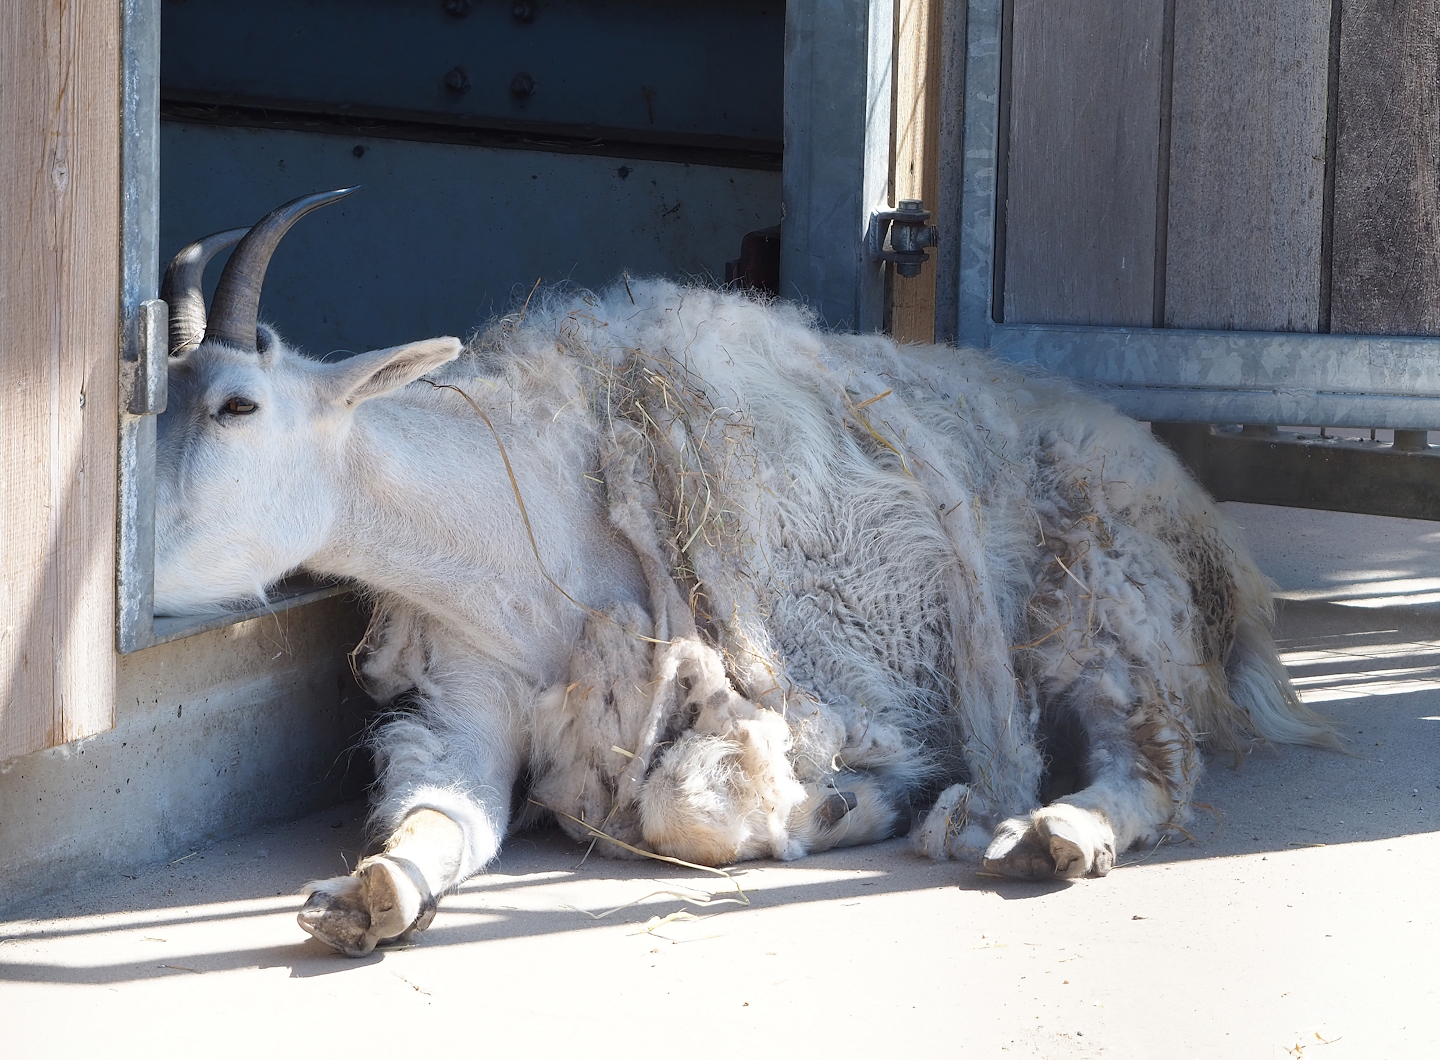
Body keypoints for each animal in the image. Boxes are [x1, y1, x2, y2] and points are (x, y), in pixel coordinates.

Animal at [153, 190, 1336, 956]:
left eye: (236, 405)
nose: (140, 558)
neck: (524, 524)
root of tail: (1213, 536)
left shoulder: (821, 688)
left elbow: (691, 810)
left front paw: (848, 807)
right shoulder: (466, 700)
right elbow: (440, 813)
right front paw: (370, 897)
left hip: (1104, 595)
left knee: (1155, 757)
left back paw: (1057, 833)